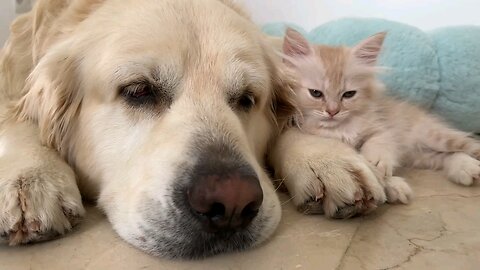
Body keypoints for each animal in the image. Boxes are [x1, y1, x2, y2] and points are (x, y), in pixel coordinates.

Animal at [0, 0, 384, 258]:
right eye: (138, 91)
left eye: (247, 99)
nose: (232, 203)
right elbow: (17, 119)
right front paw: (32, 176)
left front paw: (325, 158)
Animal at [282, 28, 480, 204]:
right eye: (316, 93)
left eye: (348, 94)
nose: (332, 111)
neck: (339, 128)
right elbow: (376, 177)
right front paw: (394, 187)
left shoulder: (382, 127)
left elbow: (379, 144)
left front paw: (377, 162)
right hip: (421, 156)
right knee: (446, 155)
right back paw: (464, 169)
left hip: (435, 137)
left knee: (468, 145)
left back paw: (470, 165)